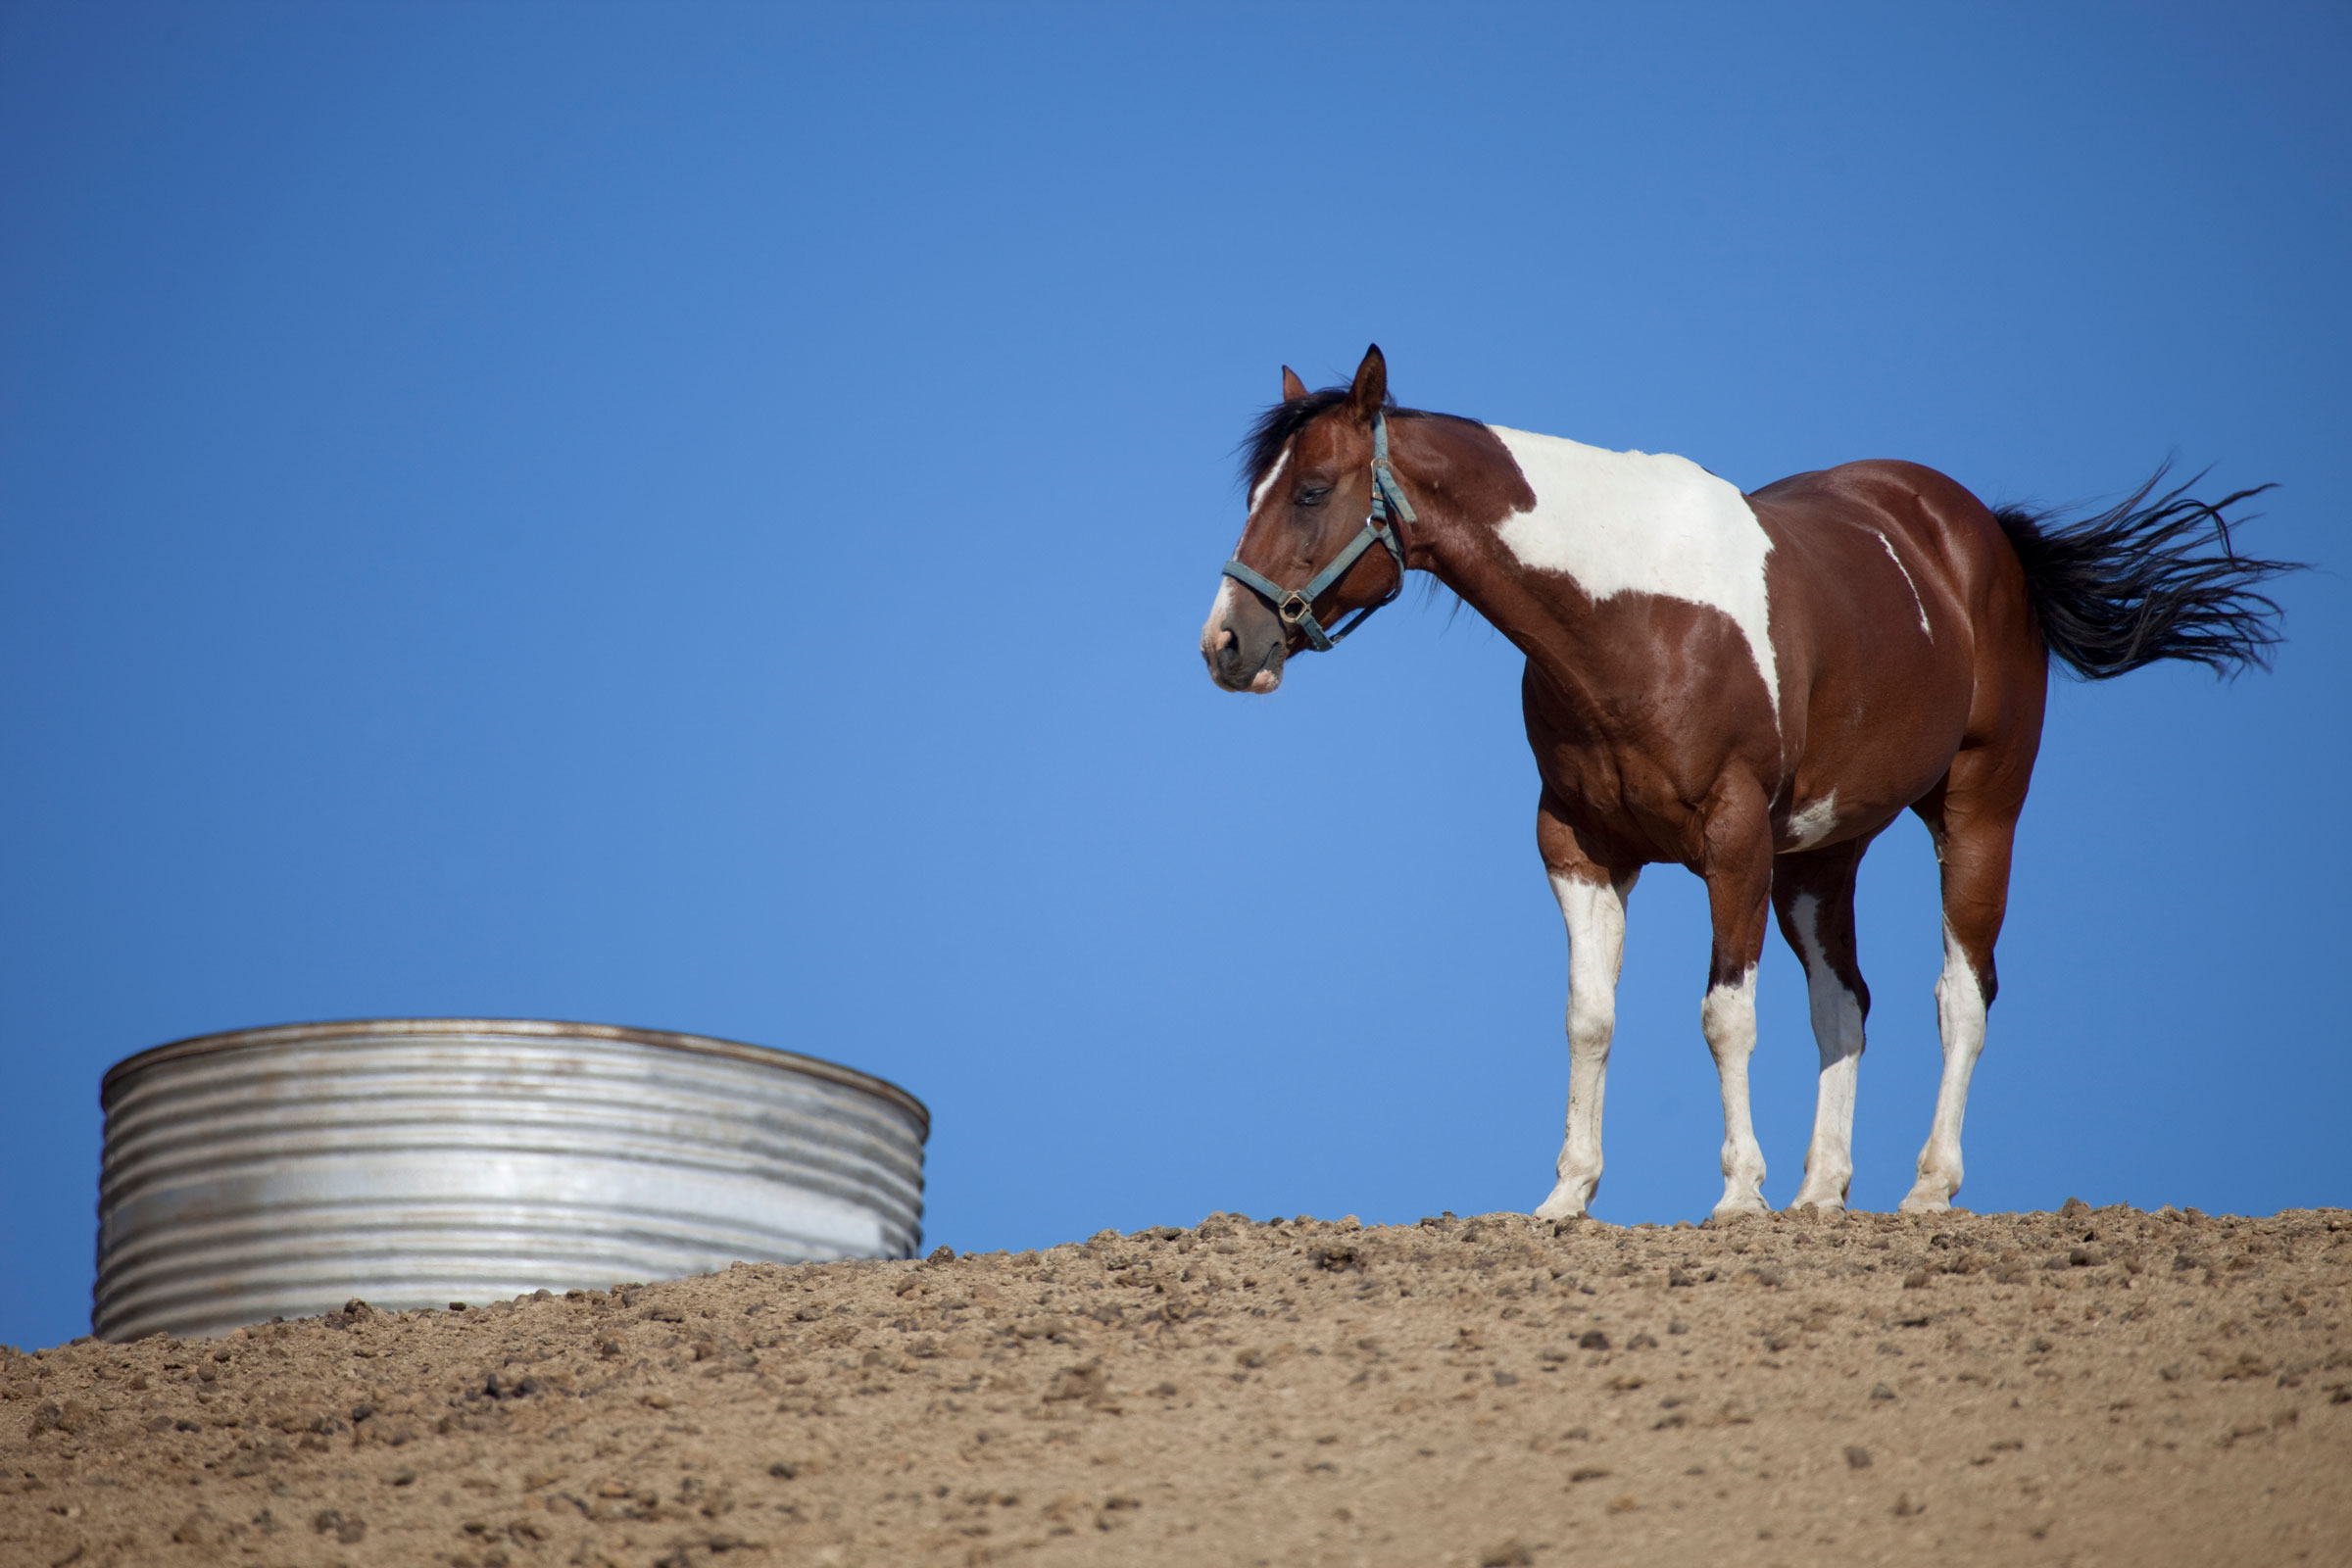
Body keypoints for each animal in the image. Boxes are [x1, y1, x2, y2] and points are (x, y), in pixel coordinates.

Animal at [1195, 343, 2295, 1222]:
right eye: (1256, 492)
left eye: (1310, 489)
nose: (1226, 643)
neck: (1629, 611)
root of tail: (1979, 533)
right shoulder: (1581, 848)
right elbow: (1589, 1016)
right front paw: (1566, 1196)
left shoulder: (1732, 841)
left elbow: (1726, 1015)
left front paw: (1735, 1193)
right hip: (1822, 855)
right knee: (1846, 1003)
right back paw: (1820, 1192)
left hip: (1977, 810)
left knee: (1962, 991)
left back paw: (1927, 1188)